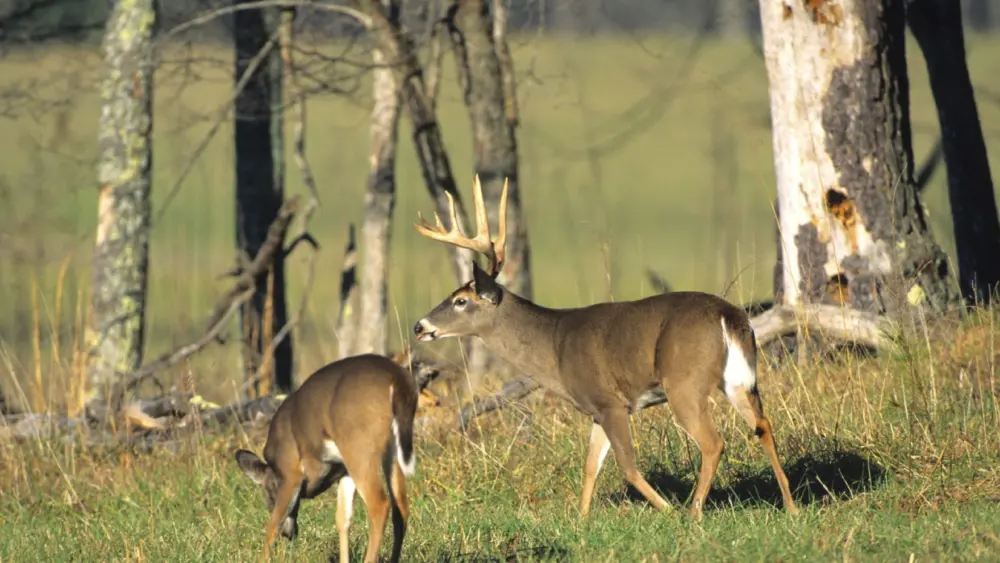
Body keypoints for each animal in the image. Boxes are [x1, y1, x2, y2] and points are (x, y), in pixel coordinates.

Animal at [233, 353, 418, 563]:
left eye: (269, 497)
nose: (288, 534)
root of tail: (397, 378)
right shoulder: (344, 471)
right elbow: (342, 519)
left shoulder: (291, 472)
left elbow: (273, 523)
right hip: (390, 449)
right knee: (400, 506)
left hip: (358, 447)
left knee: (380, 505)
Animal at [410, 176, 799, 521]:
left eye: (460, 301)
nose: (420, 326)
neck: (554, 346)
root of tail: (729, 316)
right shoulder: (596, 409)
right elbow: (590, 465)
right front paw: (581, 521)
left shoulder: (611, 402)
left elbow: (626, 465)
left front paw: (666, 510)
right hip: (739, 379)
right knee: (763, 425)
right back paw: (790, 506)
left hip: (684, 382)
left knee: (713, 442)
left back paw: (692, 513)